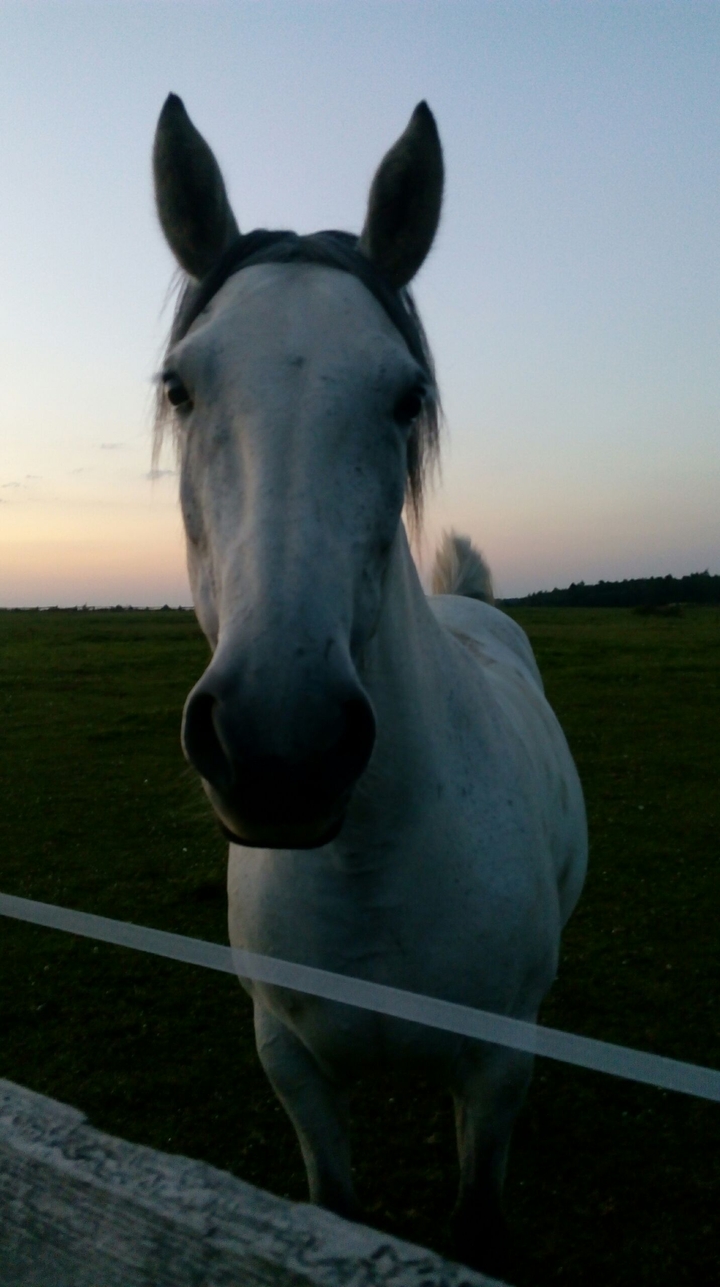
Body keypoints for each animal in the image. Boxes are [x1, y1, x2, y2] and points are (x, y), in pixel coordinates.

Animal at [151, 93, 587, 1278]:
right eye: (180, 386)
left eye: (408, 394)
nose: (281, 744)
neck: (370, 864)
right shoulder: (289, 1064)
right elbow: (330, 1204)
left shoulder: (495, 1074)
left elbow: (477, 1218)